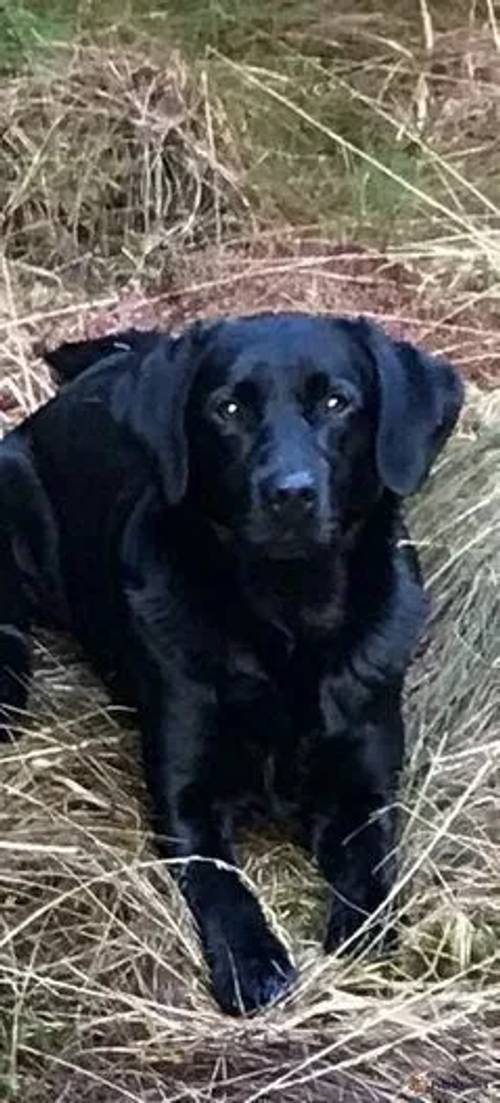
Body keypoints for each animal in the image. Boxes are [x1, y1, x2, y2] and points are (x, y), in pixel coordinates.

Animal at [0, 315, 461, 1010]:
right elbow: (224, 887)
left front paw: (362, 932)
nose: (290, 494)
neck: (288, 618)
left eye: (336, 402)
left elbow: (372, 869)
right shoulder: (186, 798)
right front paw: (254, 962)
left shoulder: (365, 788)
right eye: (230, 409)